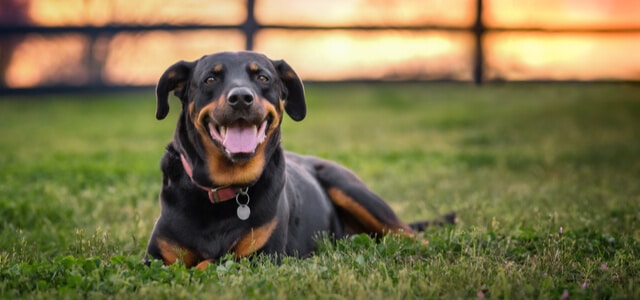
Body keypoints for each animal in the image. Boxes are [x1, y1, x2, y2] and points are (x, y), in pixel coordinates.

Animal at [145, 51, 456, 270]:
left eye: (263, 78)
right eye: (210, 79)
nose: (241, 97)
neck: (224, 189)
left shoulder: (262, 257)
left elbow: (210, 262)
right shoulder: (155, 258)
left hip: (352, 190)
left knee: (410, 235)